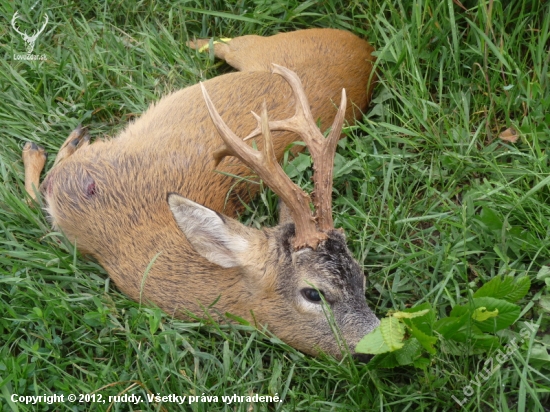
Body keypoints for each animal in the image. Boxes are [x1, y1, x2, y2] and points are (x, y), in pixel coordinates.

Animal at [23, 29, 382, 358]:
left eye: (361, 277)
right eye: (314, 293)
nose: (373, 346)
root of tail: (362, 45)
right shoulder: (80, 178)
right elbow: (39, 191)